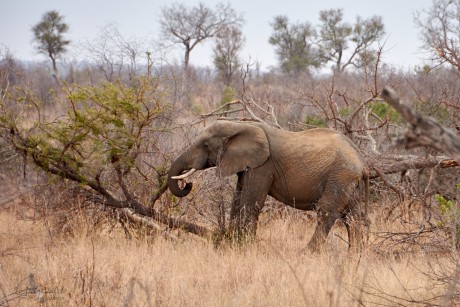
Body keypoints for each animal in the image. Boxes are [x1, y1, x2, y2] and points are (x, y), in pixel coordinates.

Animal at [167, 119, 368, 251]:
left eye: (206, 145)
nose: (187, 183)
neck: (239, 125)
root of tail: (362, 162)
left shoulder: (262, 167)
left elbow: (250, 203)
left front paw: (244, 247)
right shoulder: (248, 166)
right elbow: (237, 201)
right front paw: (231, 241)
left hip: (340, 176)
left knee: (326, 213)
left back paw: (306, 254)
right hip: (349, 183)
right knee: (354, 218)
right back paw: (354, 258)